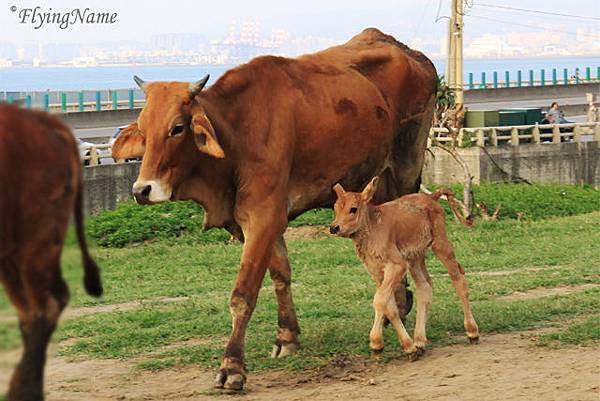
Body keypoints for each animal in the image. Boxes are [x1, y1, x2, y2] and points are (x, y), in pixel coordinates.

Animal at [112, 28, 438, 390]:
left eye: (177, 127)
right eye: (143, 129)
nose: (142, 190)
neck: (236, 131)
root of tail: (409, 52)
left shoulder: (263, 216)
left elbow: (243, 294)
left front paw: (232, 366)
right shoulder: (257, 222)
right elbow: (281, 274)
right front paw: (287, 336)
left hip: (406, 168)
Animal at [328, 178, 478, 360]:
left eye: (353, 209)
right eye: (336, 208)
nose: (334, 227)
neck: (373, 226)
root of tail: (431, 198)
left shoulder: (397, 265)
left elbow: (380, 300)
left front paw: (376, 343)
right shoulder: (377, 272)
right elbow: (390, 306)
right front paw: (408, 346)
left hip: (441, 245)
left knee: (458, 278)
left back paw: (472, 332)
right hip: (415, 257)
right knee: (424, 286)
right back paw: (419, 341)